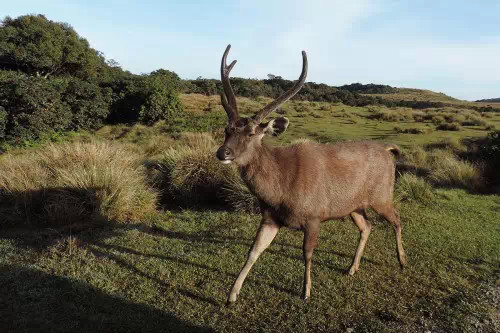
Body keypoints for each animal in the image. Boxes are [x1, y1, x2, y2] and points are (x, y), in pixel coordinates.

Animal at [215, 44, 406, 304]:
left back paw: (402, 261)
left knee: (396, 219)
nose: (222, 152)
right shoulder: (270, 217)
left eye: (252, 133)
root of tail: (388, 150)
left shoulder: (314, 216)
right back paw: (352, 268)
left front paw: (305, 291)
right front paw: (232, 294)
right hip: (353, 205)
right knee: (367, 226)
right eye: (227, 129)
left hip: (382, 195)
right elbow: (253, 251)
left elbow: (307, 253)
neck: (282, 191)